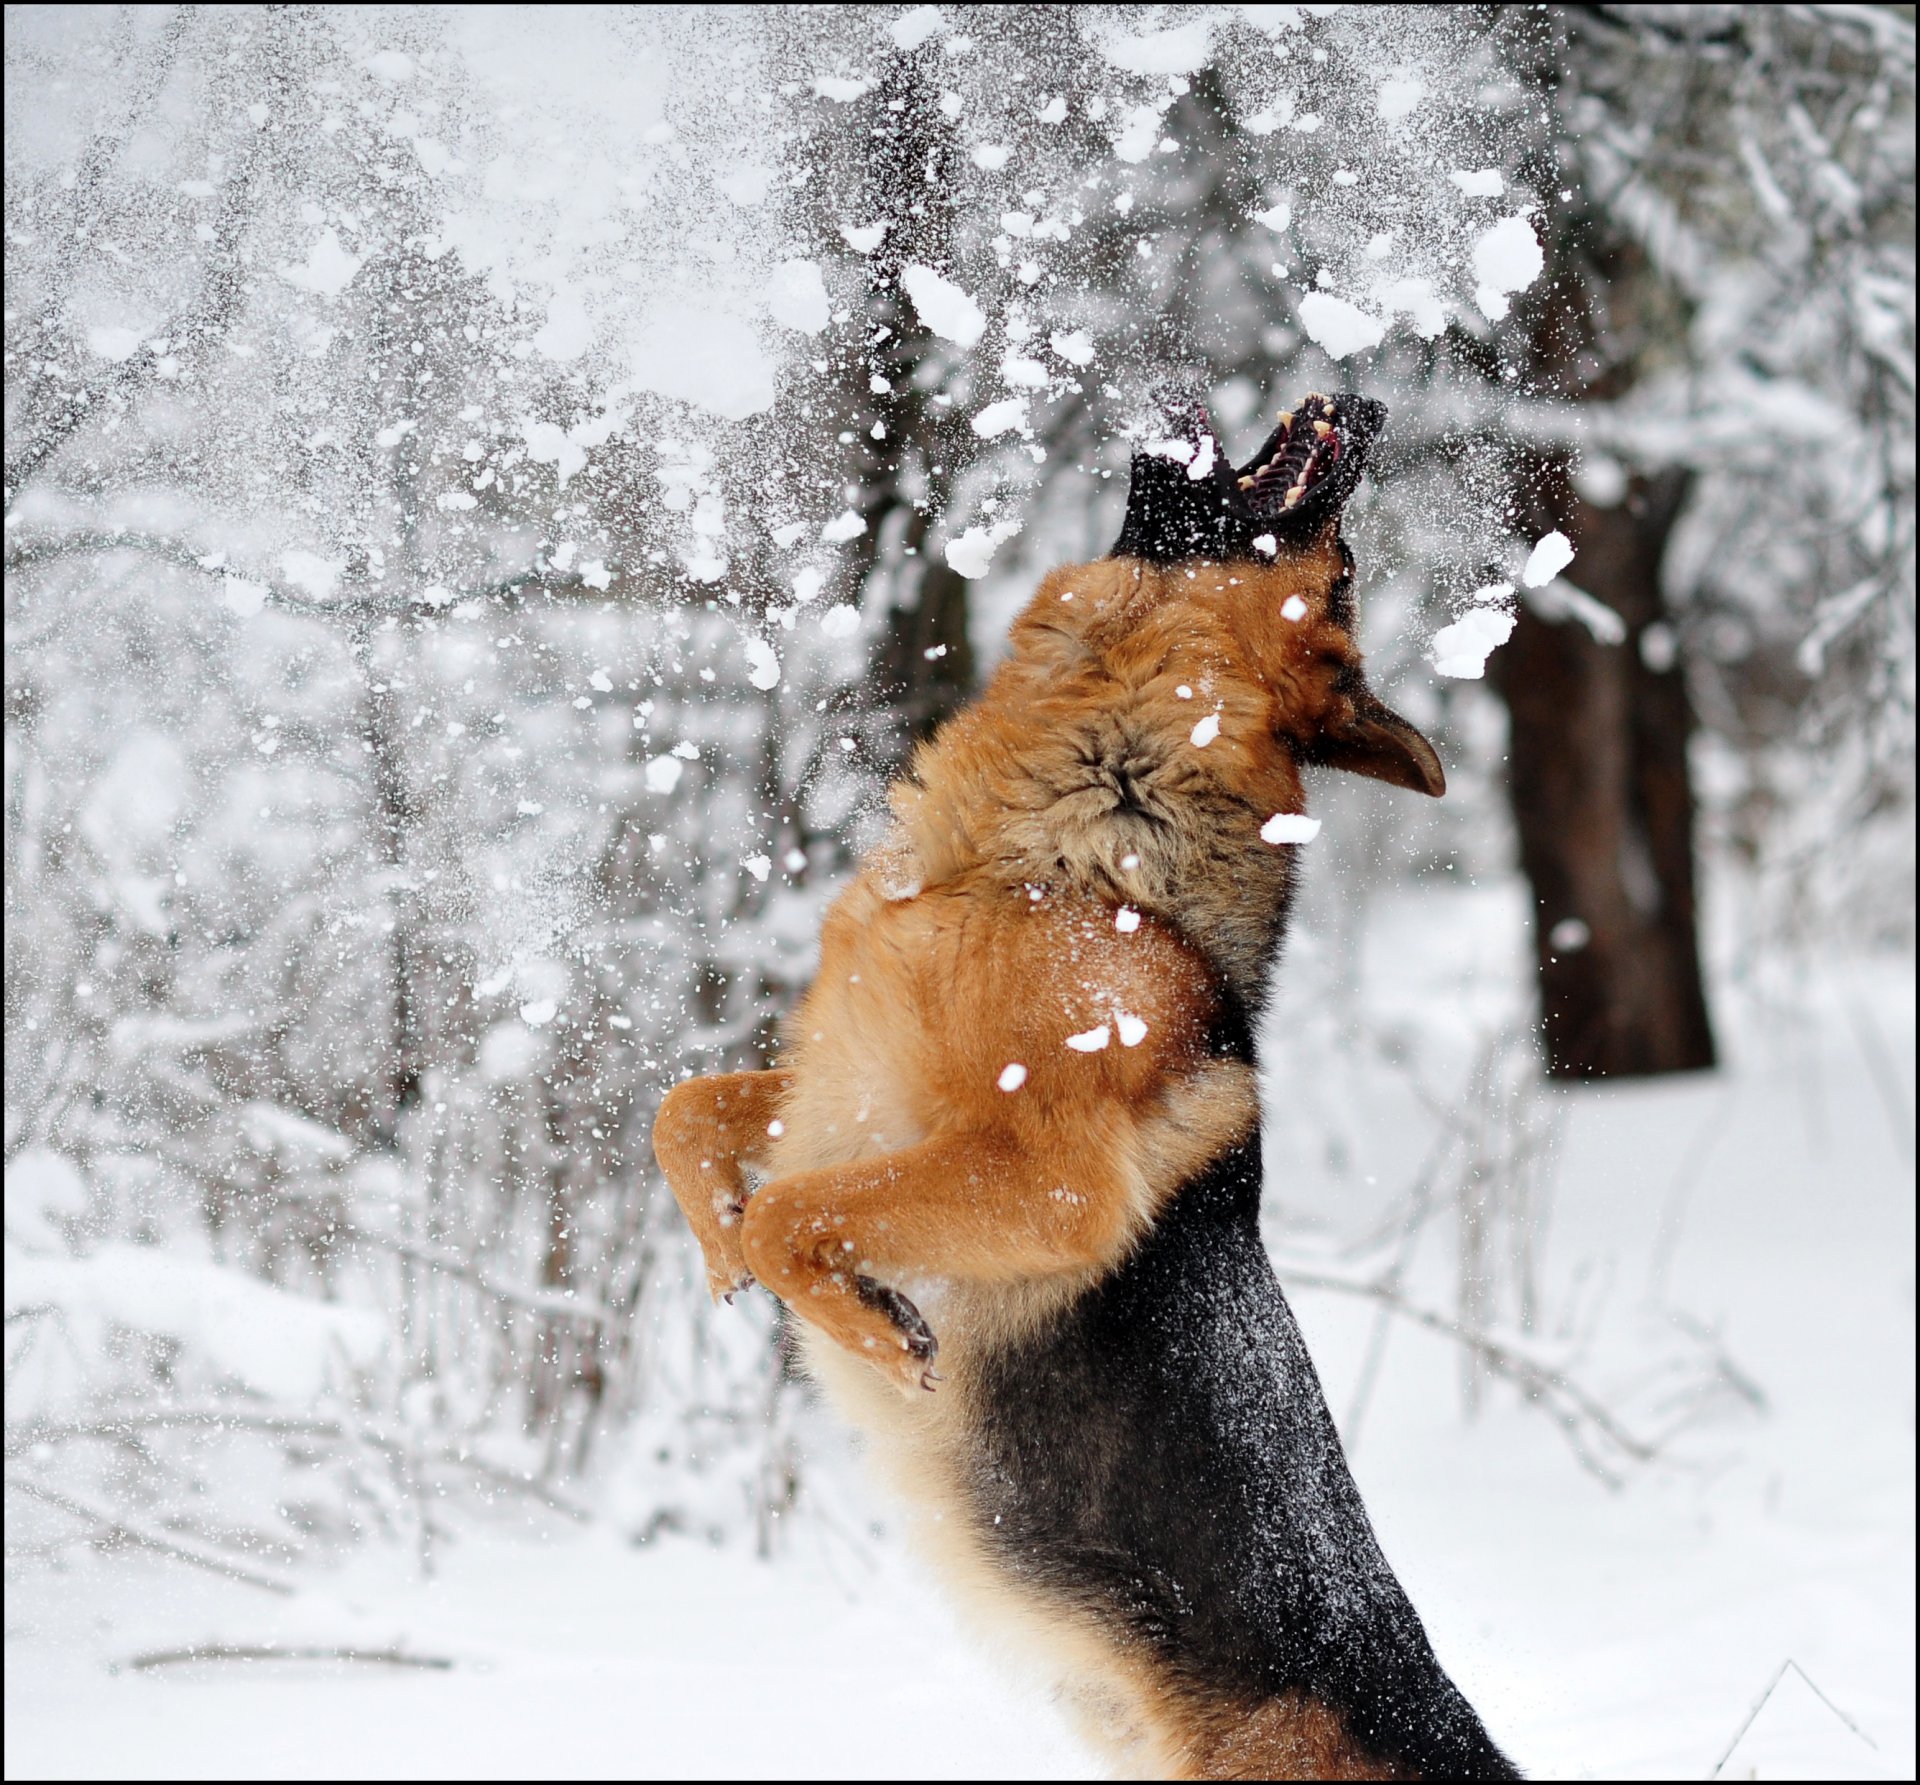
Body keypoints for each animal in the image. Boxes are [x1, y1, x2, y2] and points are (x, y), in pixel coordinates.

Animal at [652, 397, 1520, 1773]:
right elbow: (686, 1117)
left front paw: (868, 1327)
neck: (1071, 852)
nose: (1368, 406)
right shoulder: (842, 1088)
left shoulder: (1048, 1185)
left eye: (1343, 572)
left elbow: (797, 1212)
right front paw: (724, 1247)